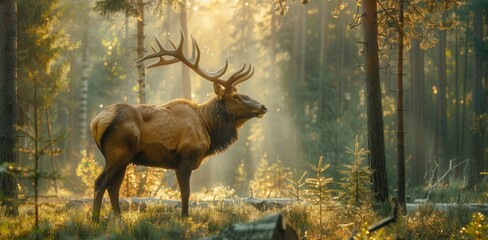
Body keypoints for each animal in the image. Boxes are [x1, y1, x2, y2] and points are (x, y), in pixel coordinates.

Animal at [90, 31, 266, 221]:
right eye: (236, 96)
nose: (262, 107)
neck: (208, 127)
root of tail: (96, 122)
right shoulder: (186, 156)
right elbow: (185, 193)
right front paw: (184, 217)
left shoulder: (176, 163)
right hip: (118, 152)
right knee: (100, 183)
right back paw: (95, 219)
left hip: (125, 158)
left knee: (113, 187)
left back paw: (119, 219)